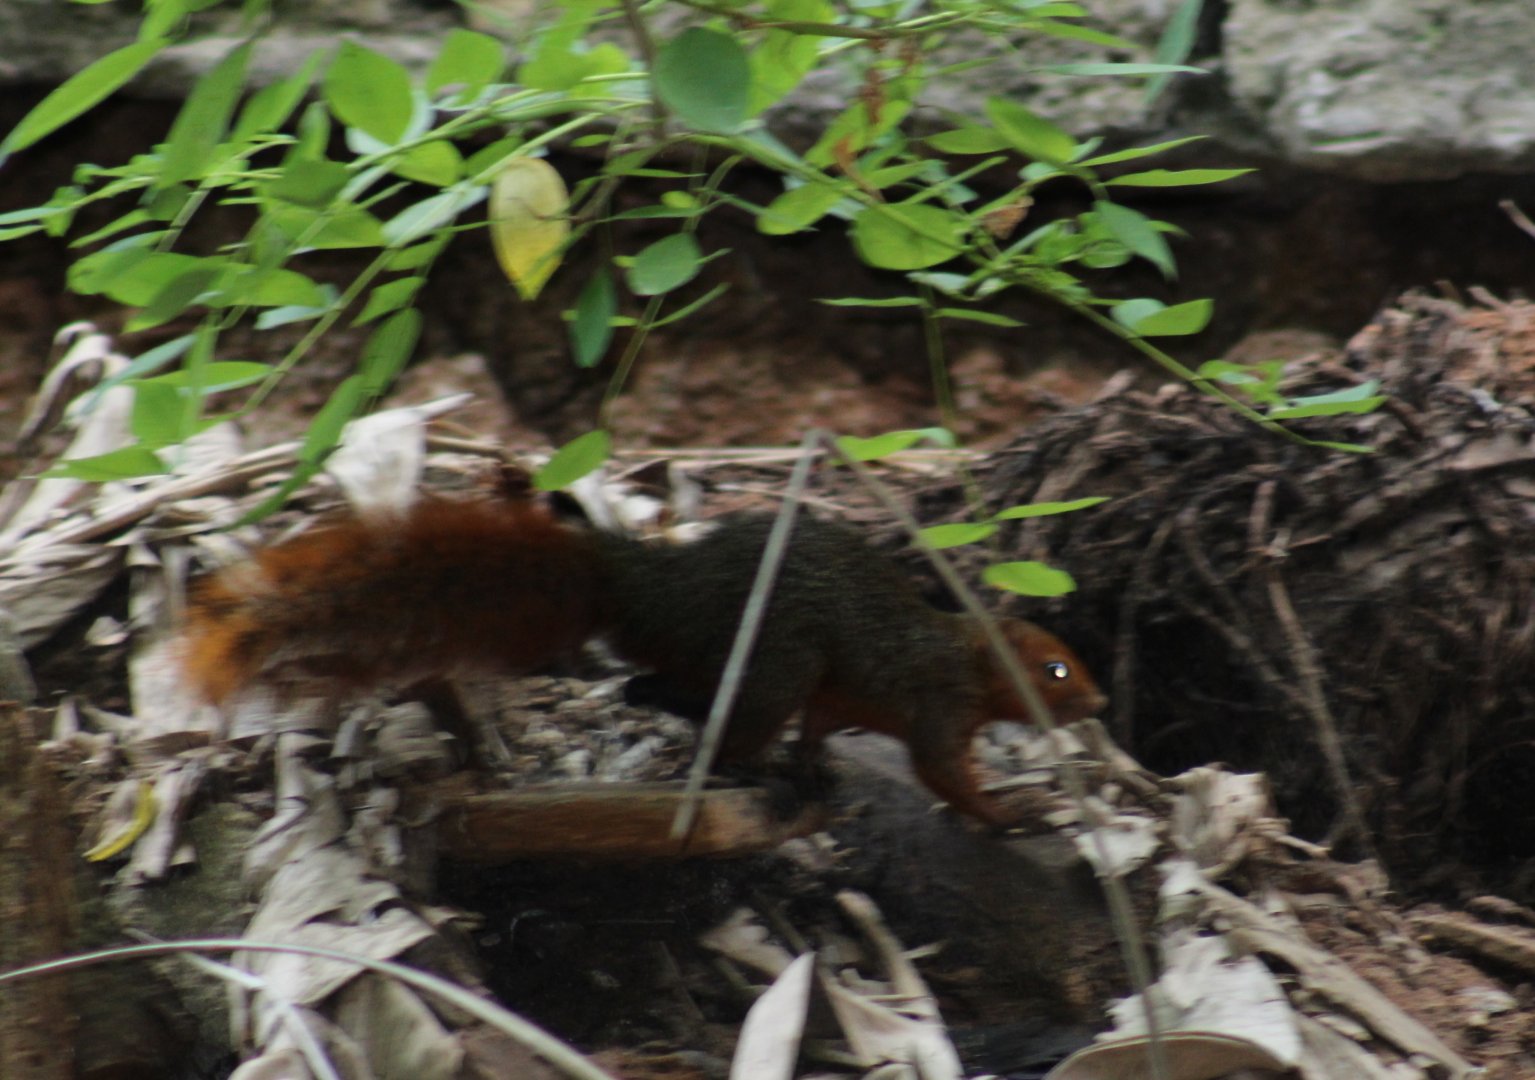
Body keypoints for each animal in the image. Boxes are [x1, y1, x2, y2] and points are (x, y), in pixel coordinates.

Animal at [181, 498, 1106, 826]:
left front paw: (817, 767)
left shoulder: (842, 694)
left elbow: (823, 728)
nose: (1098, 706)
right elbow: (943, 773)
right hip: (774, 661)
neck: (962, 653)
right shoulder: (934, 703)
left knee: (657, 687)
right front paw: (1015, 811)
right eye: (1055, 670)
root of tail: (659, 592)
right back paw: (741, 769)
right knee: (701, 711)